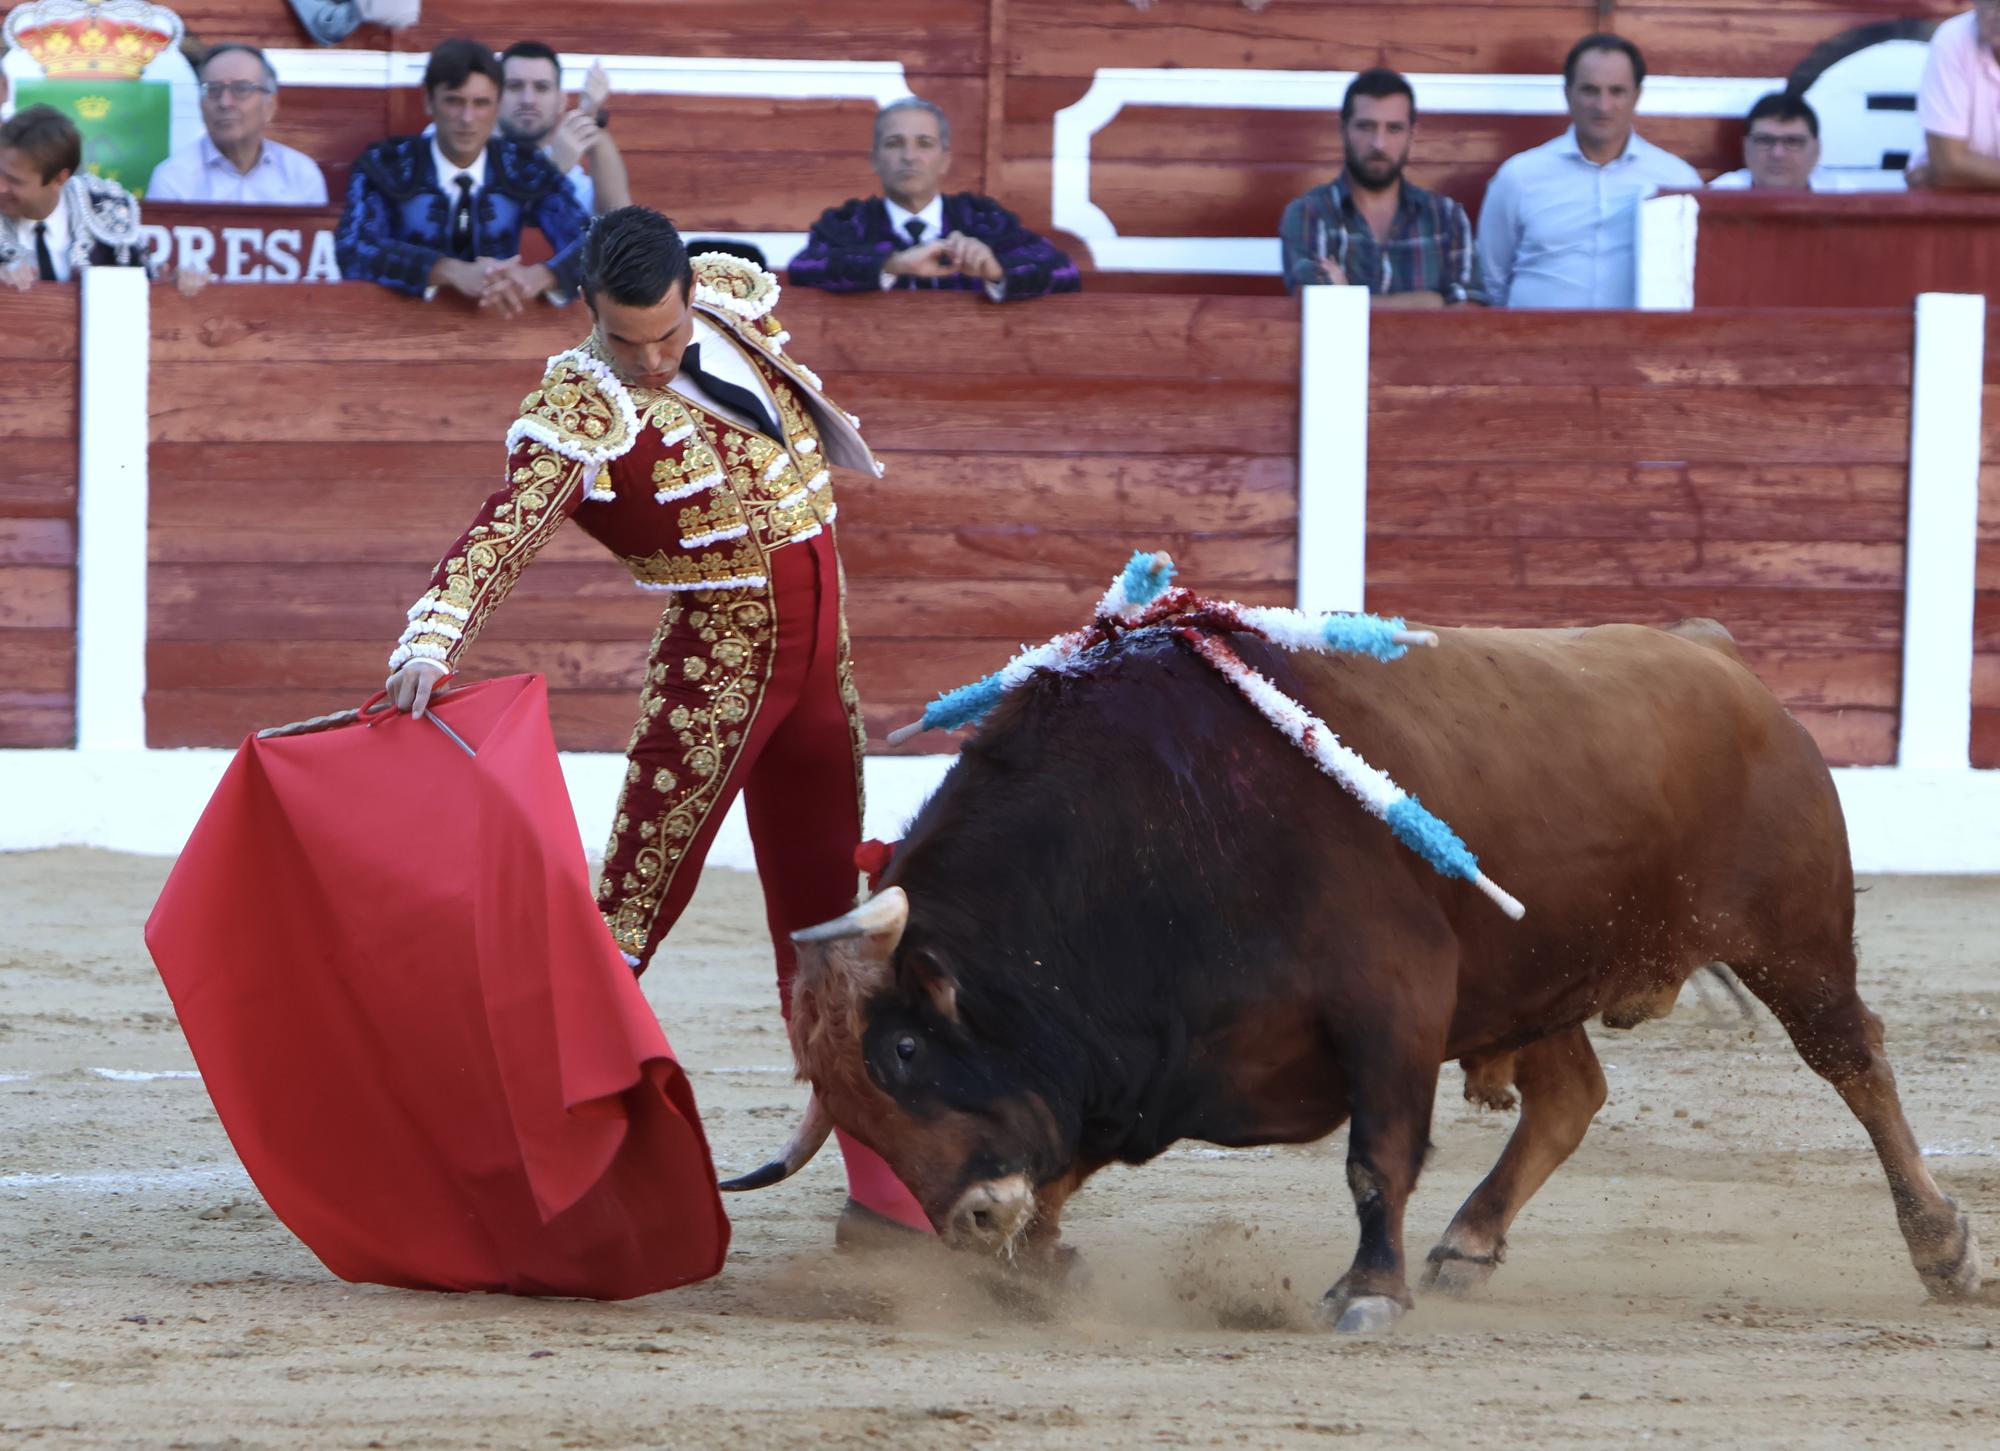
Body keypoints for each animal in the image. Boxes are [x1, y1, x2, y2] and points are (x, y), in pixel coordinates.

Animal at [728, 619, 1992, 1335]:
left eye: (903, 1045)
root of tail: (1719, 657)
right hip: (1532, 974)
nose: (968, 1216)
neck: (1157, 829)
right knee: (1570, 1094)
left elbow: (1374, 1156)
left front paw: (1367, 1290)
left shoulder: (1392, 1001)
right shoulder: (1129, 1064)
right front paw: (1040, 1262)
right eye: (850, 1106)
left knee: (1856, 1063)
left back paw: (1937, 1242)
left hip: (1795, 937)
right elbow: (1064, 1166)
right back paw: (1469, 1243)